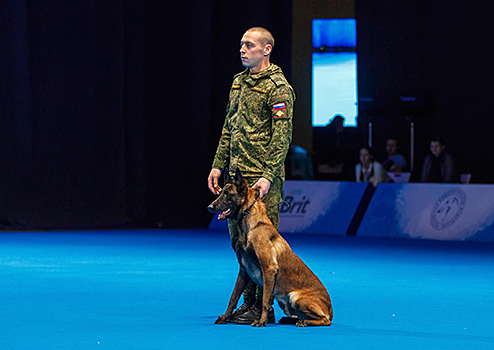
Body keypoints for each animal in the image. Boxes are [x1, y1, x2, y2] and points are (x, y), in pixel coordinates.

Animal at [206, 168, 334, 326]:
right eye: (220, 193)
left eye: (228, 195)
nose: (210, 207)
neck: (250, 224)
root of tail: (330, 308)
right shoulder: (243, 271)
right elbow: (233, 298)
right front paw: (225, 317)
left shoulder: (269, 269)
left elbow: (265, 300)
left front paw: (261, 321)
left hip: (296, 298)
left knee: (325, 321)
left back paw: (305, 322)